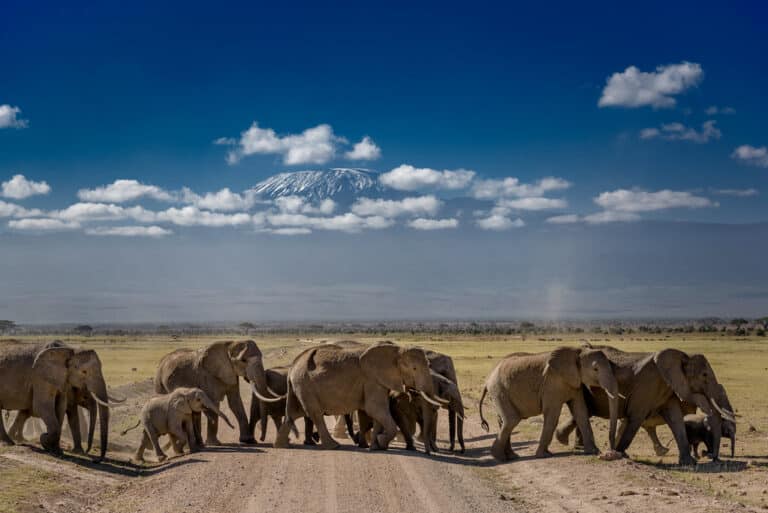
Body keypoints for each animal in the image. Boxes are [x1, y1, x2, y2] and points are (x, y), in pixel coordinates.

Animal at [274, 341, 446, 450]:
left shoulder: (378, 381)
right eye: (415, 369)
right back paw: (334, 446)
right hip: (305, 385)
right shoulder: (371, 380)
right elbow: (374, 409)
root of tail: (293, 366)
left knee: (293, 413)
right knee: (315, 414)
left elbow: (378, 413)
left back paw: (281, 446)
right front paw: (381, 442)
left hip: (299, 385)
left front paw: (376, 446)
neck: (396, 350)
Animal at [479, 346, 620, 462]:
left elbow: (581, 412)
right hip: (499, 390)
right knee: (511, 420)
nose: (609, 452)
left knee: (503, 421)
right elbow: (553, 415)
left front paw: (593, 451)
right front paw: (544, 455)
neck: (577, 351)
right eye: (595, 369)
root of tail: (487, 380)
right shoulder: (552, 384)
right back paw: (499, 457)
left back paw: (511, 456)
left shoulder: (575, 383)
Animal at [554, 345, 736, 465]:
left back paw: (572, 444)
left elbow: (675, 418)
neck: (682, 356)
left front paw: (689, 463)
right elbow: (636, 417)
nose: (712, 457)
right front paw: (620, 454)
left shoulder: (668, 387)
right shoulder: (648, 385)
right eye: (704, 375)